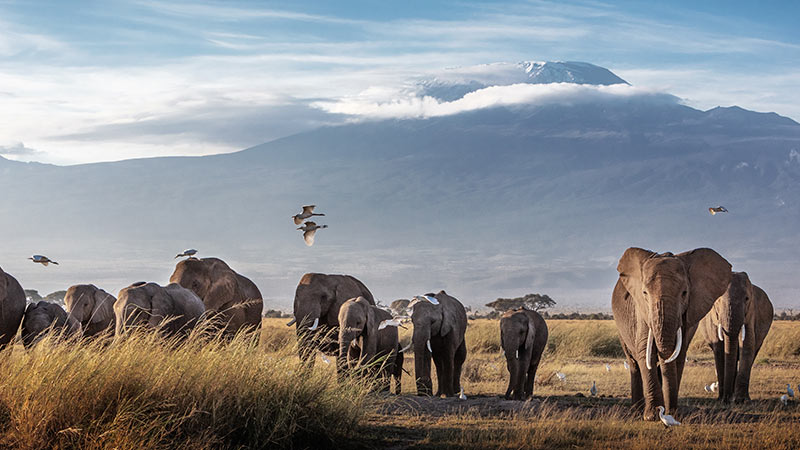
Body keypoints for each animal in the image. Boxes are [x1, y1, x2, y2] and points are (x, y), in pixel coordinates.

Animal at [612, 248, 732, 420]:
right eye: (644, 293)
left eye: (684, 293)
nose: (667, 412)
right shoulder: (641, 310)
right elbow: (644, 351)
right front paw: (652, 416)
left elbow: (679, 354)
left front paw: (672, 413)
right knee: (634, 363)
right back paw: (637, 411)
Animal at [696, 272, 772, 402]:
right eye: (717, 300)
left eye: (747, 299)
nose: (726, 400)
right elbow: (719, 349)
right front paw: (722, 399)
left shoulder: (750, 314)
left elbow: (747, 346)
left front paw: (741, 401)